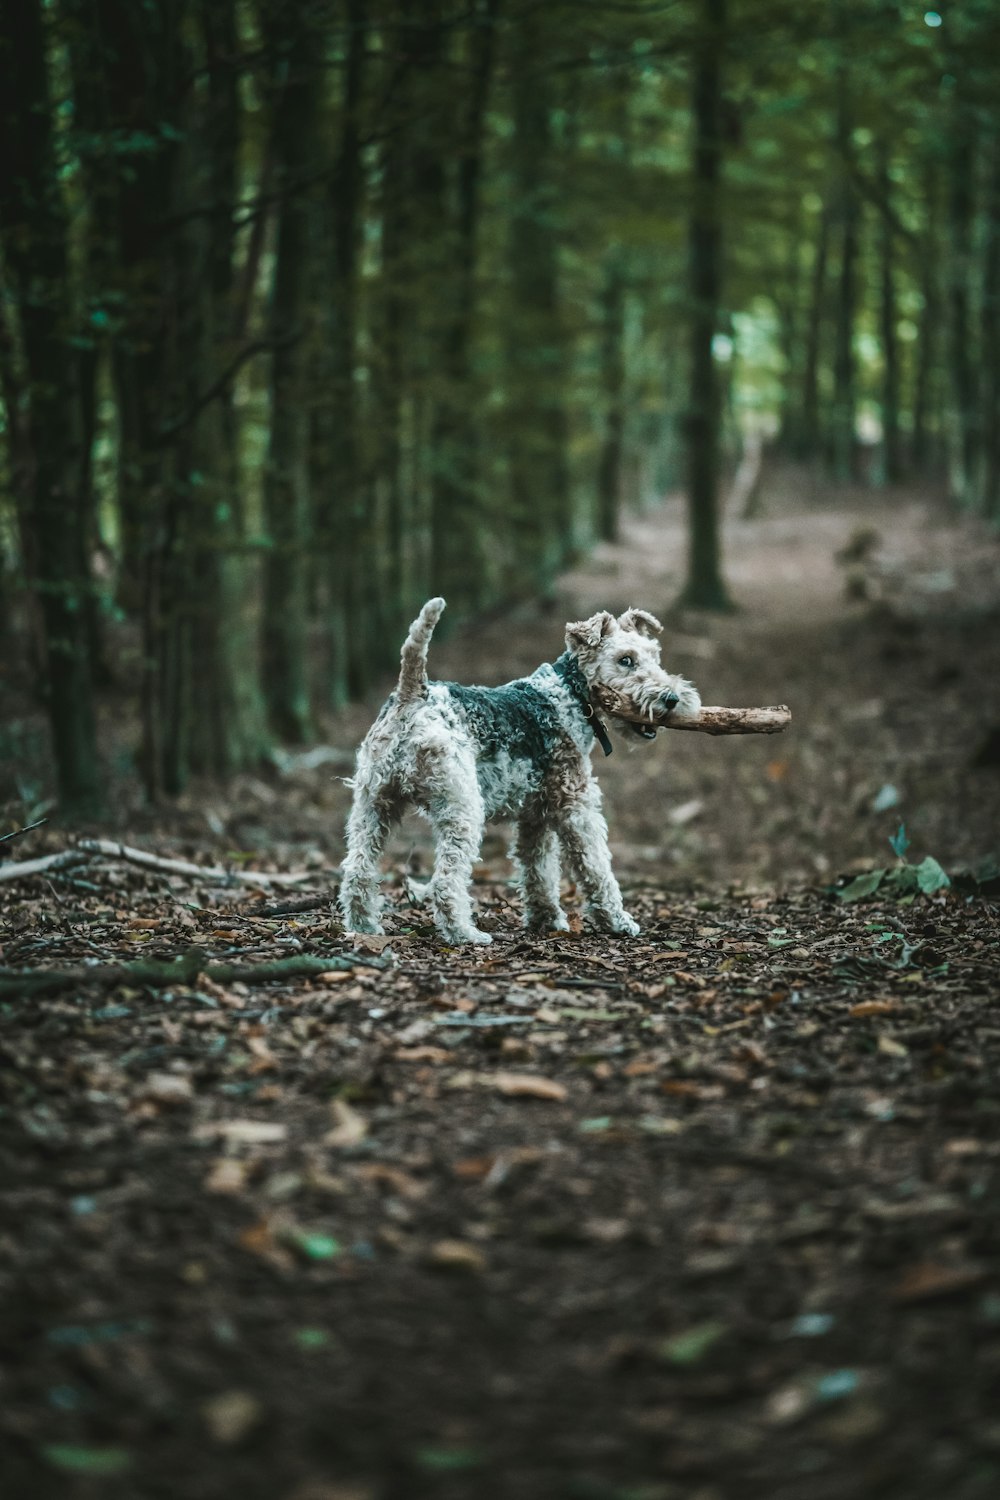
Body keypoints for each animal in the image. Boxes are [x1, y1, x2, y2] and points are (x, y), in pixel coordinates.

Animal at [340, 600, 701, 942]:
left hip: (374, 804)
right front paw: (617, 921)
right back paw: (465, 933)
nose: (671, 698)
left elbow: (538, 870)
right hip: (462, 808)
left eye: (655, 656)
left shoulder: (535, 815)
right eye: (626, 660)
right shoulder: (577, 806)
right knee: (445, 881)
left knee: (357, 870)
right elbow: (596, 866)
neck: (569, 694)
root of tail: (412, 696)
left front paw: (546, 920)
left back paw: (364, 926)